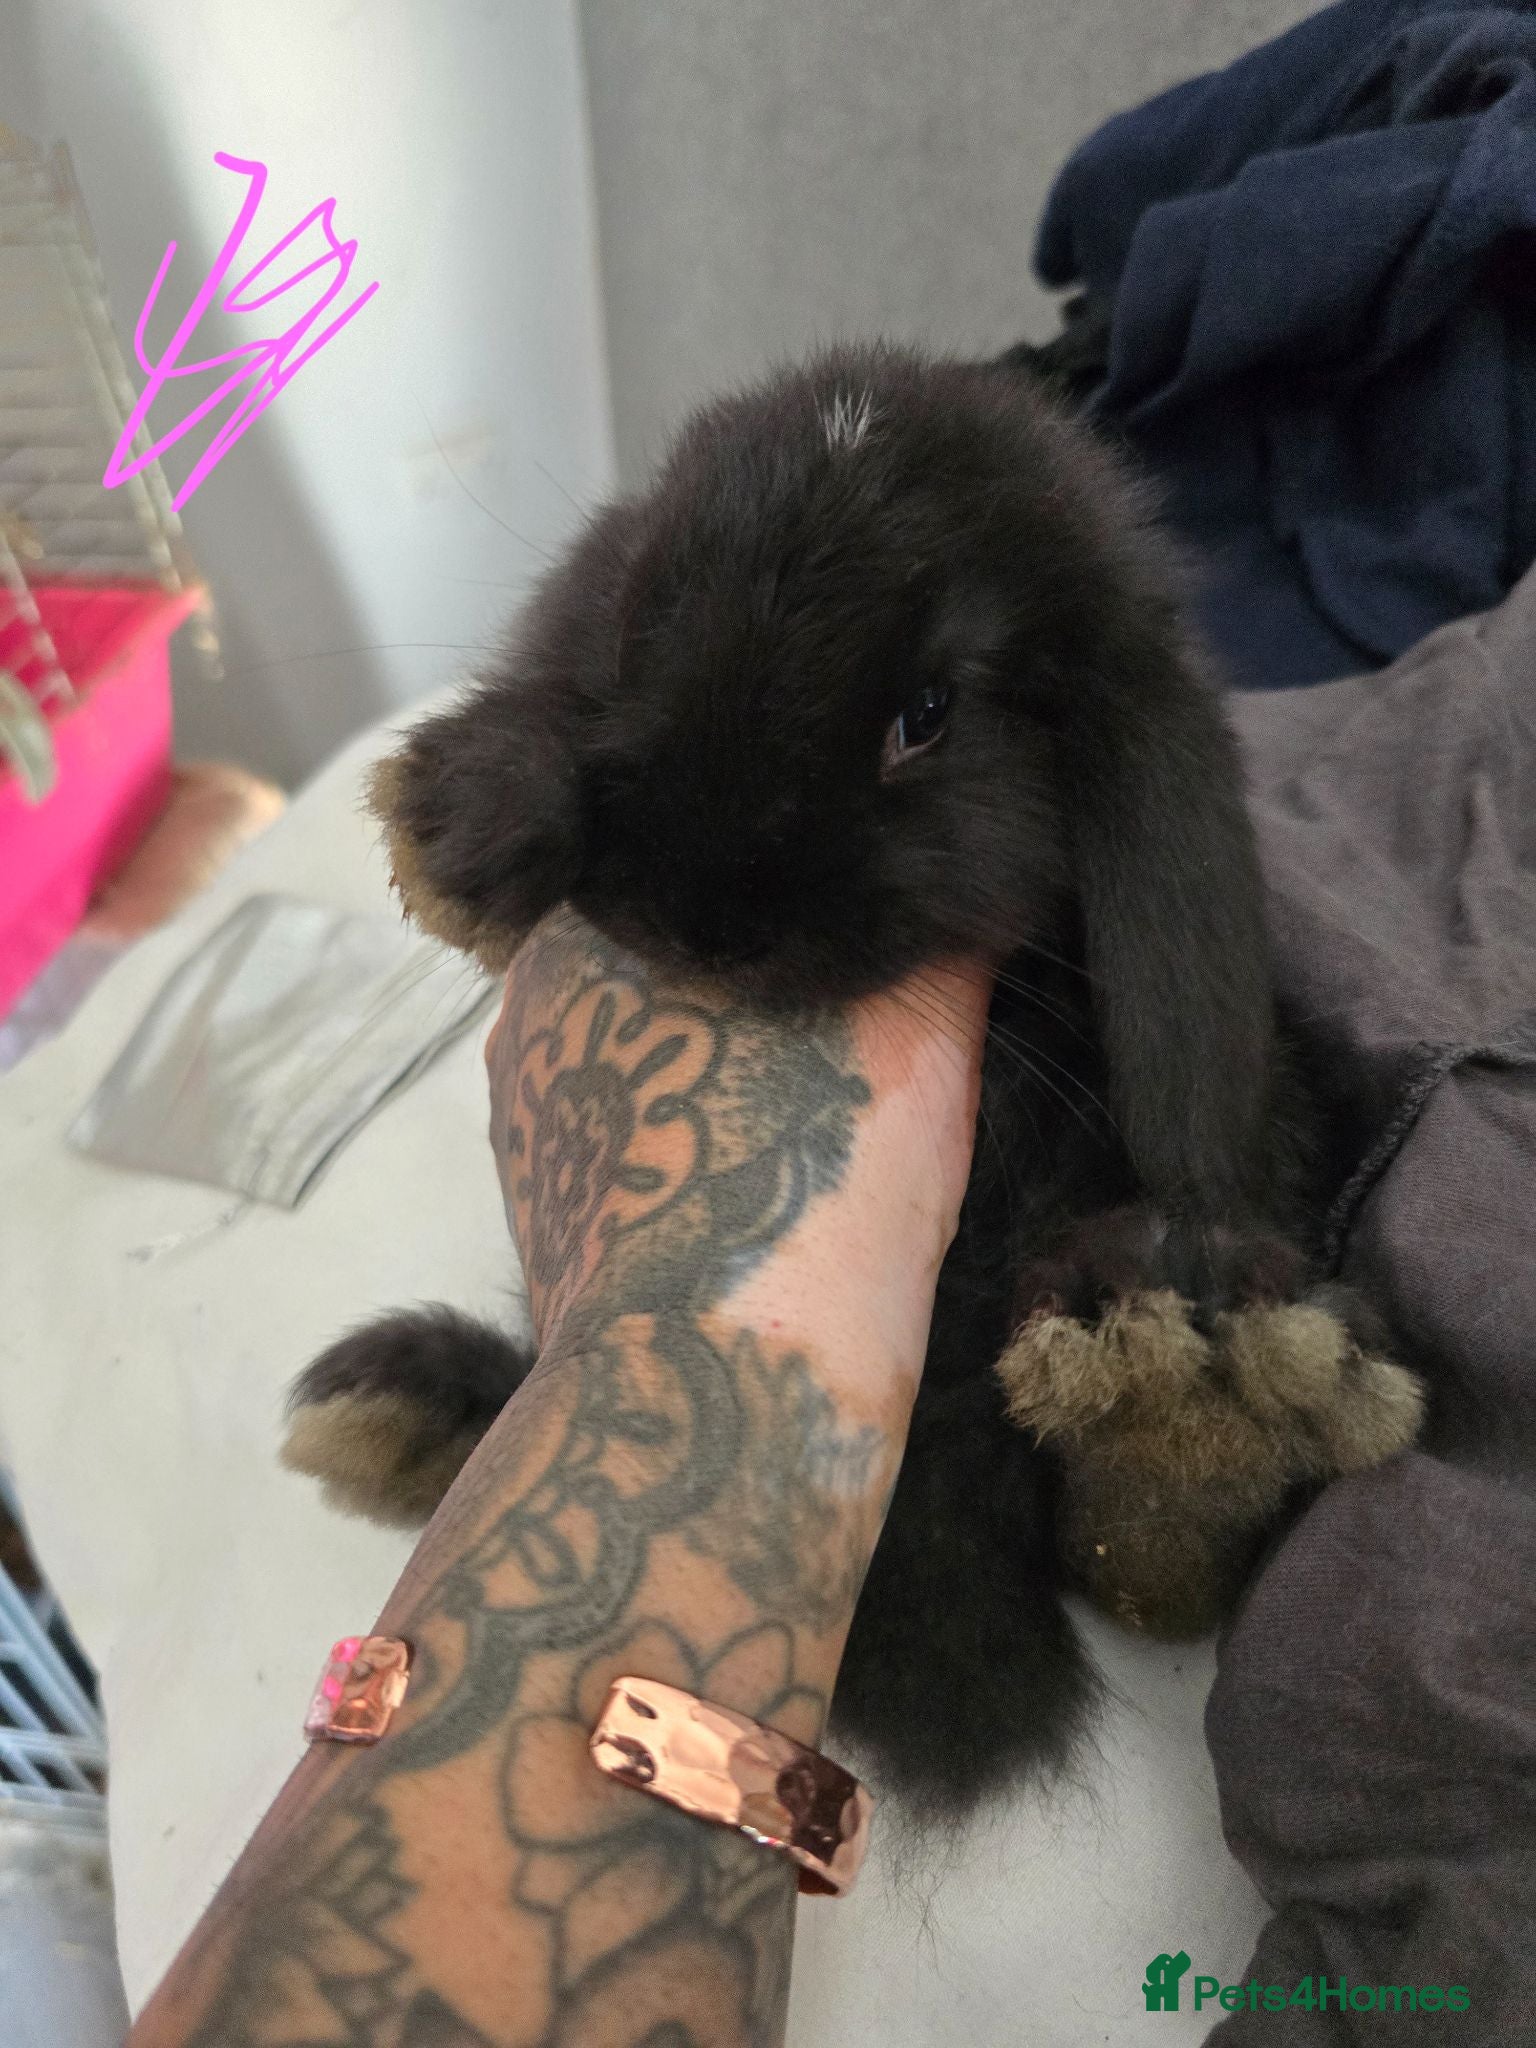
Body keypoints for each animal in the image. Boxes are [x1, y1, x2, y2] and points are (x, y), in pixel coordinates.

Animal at [282, 341, 1423, 1820]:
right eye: (642, 631)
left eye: (927, 713)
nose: (704, 914)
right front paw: (461, 812)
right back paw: (397, 1411)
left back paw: (1192, 1390)